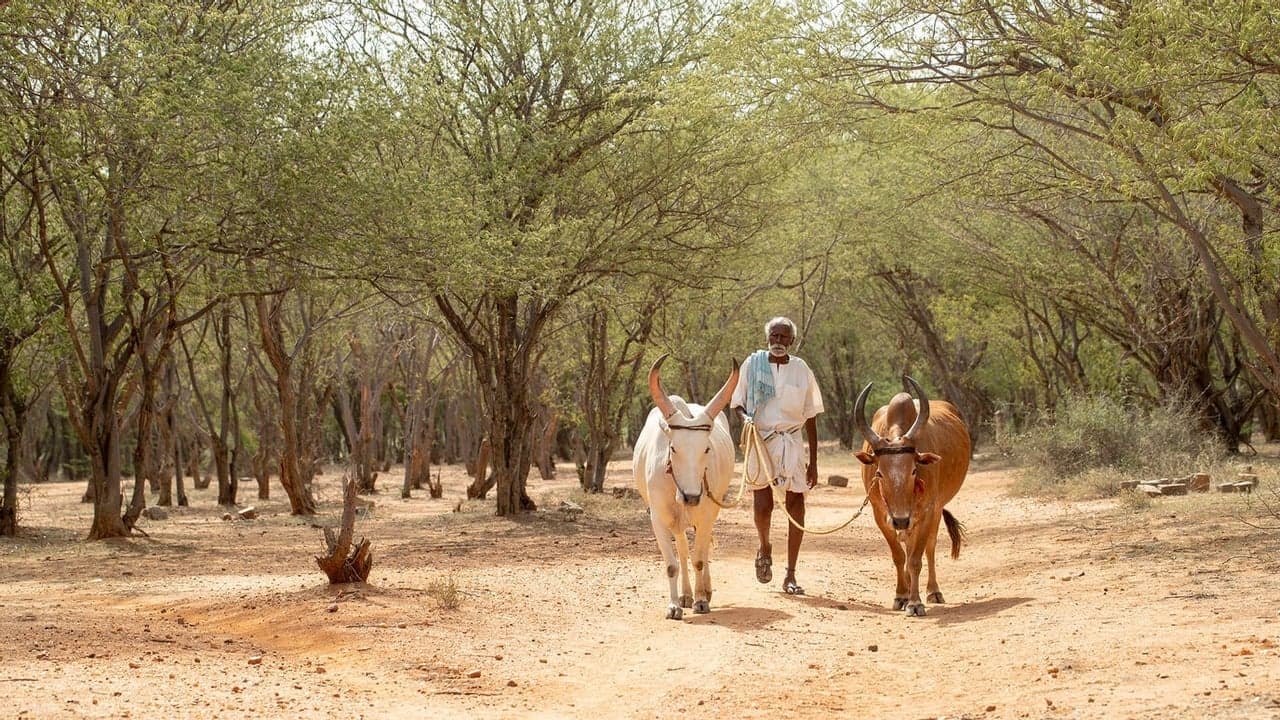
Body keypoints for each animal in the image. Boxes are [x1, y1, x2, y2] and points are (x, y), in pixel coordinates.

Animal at [632, 353, 742, 617]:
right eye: (673, 448)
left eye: (707, 448)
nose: (691, 497)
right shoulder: (658, 518)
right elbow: (672, 564)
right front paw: (674, 605)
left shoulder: (706, 513)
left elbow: (699, 559)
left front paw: (701, 600)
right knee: (682, 551)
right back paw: (685, 594)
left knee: (702, 550)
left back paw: (704, 591)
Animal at [849, 371, 967, 614]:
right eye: (879, 473)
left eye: (914, 470)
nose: (901, 520)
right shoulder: (881, 515)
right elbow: (898, 555)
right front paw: (901, 596)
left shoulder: (927, 511)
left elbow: (915, 559)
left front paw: (914, 602)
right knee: (907, 545)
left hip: (934, 512)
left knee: (928, 548)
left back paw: (933, 591)